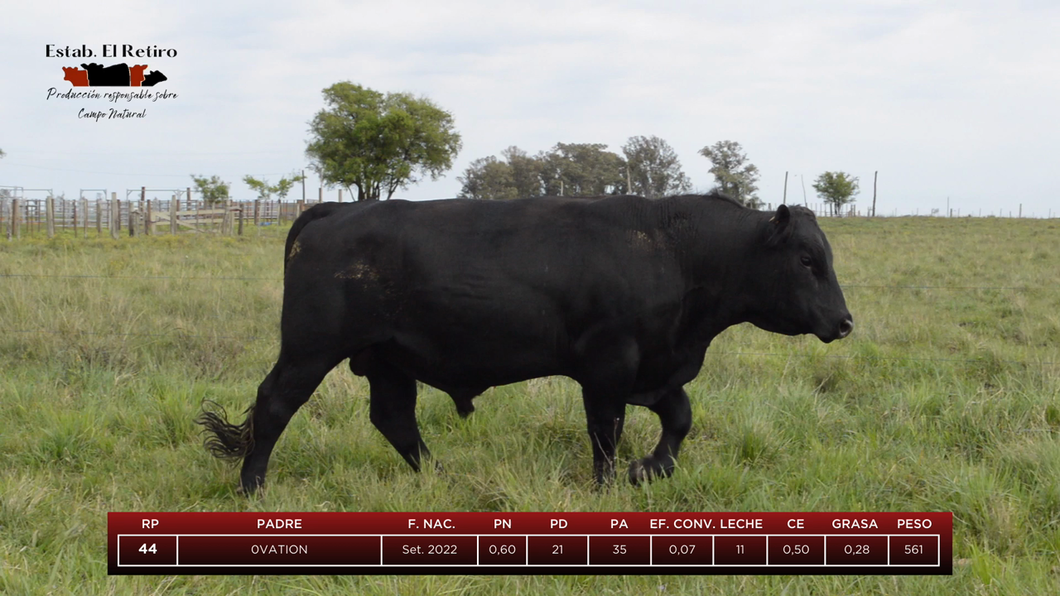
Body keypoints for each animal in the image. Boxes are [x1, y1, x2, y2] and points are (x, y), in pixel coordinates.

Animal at [197, 193, 852, 489]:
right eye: (806, 259)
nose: (845, 322)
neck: (676, 250)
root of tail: (336, 209)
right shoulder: (608, 365)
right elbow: (605, 430)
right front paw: (608, 484)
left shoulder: (656, 367)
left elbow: (681, 418)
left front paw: (649, 469)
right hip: (310, 350)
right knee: (275, 405)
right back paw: (253, 486)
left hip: (387, 359)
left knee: (394, 419)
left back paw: (440, 477)